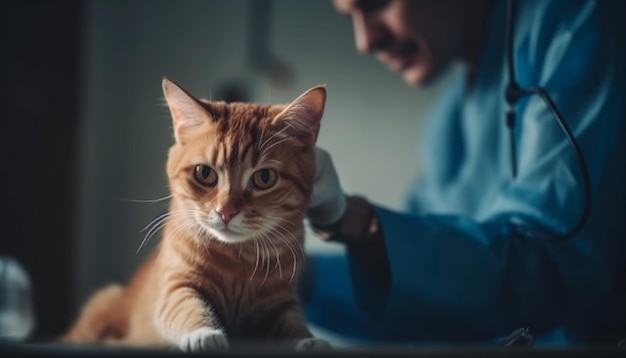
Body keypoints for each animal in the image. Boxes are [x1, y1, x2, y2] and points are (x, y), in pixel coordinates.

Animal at [61, 79, 330, 352]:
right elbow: (189, 308)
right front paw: (204, 334)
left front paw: (311, 342)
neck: (238, 261)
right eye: (205, 173)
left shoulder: (281, 304)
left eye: (264, 178)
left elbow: (294, 326)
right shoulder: (177, 287)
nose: (226, 211)